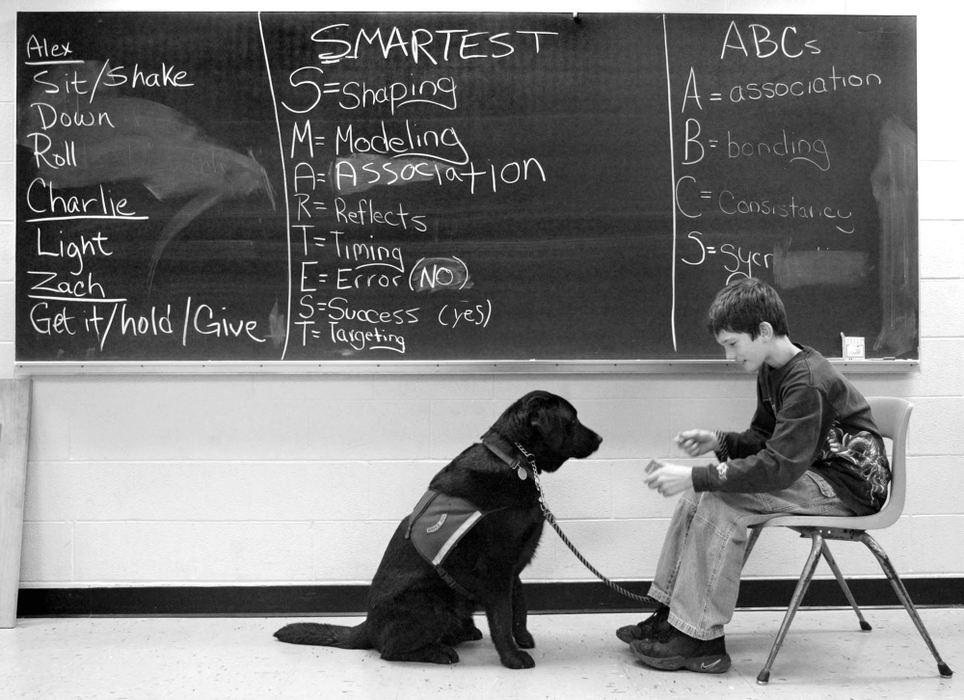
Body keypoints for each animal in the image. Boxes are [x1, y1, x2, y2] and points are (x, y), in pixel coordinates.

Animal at [274, 392, 600, 668]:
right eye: (573, 420)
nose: (600, 437)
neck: (513, 458)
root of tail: (367, 626)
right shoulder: (498, 565)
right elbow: (502, 615)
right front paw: (512, 657)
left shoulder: (514, 565)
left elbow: (519, 606)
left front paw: (522, 640)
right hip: (432, 602)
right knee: (388, 650)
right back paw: (438, 652)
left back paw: (463, 634)